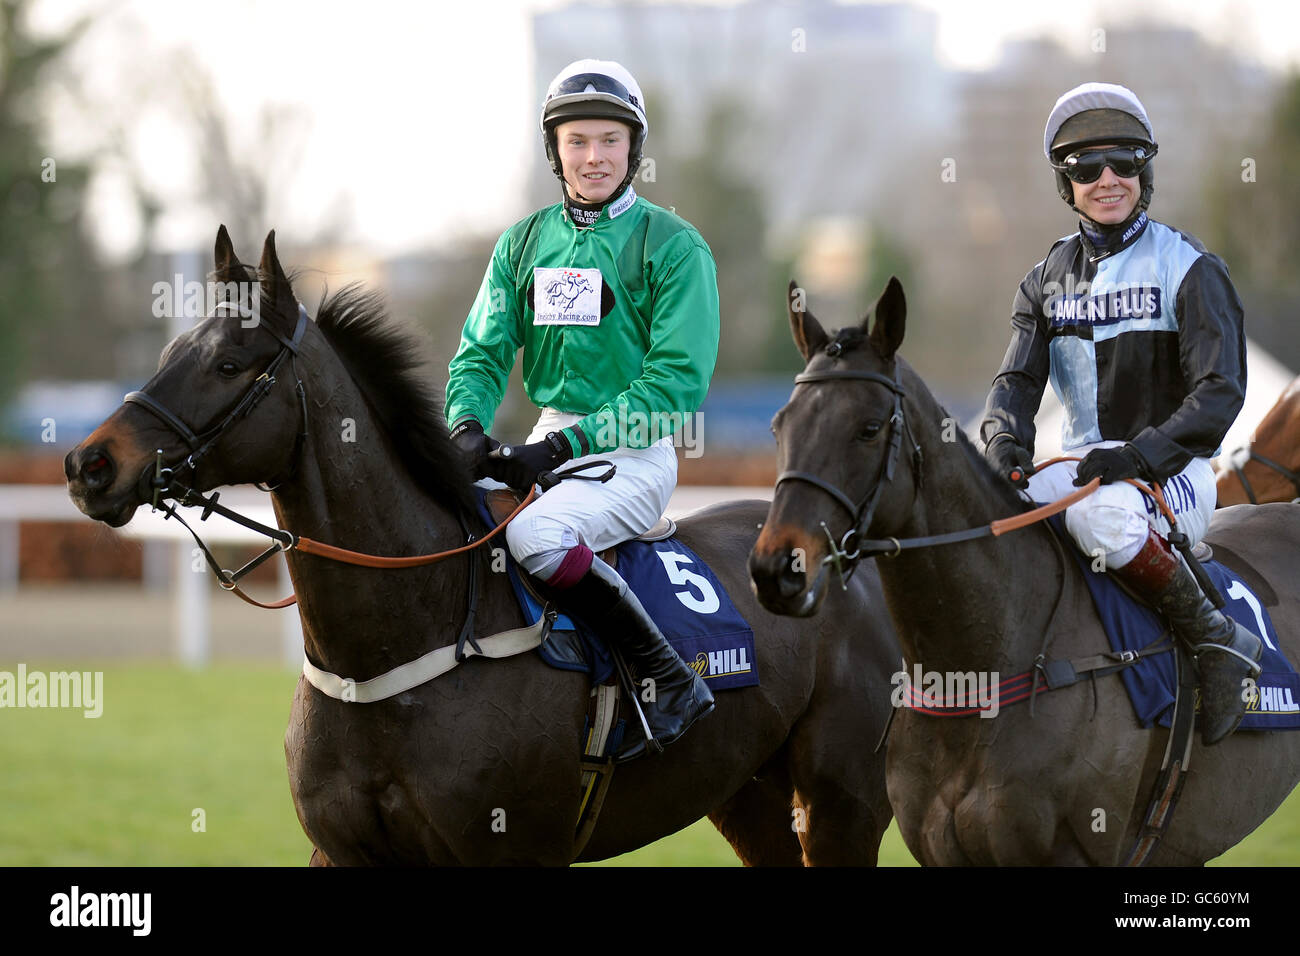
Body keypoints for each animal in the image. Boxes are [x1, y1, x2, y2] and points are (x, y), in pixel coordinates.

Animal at [61, 226, 899, 868]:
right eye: (169, 350)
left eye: (228, 364)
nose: (88, 464)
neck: (402, 637)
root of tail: (845, 555)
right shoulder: (341, 850)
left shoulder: (508, 850)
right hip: (747, 794)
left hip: (842, 804)